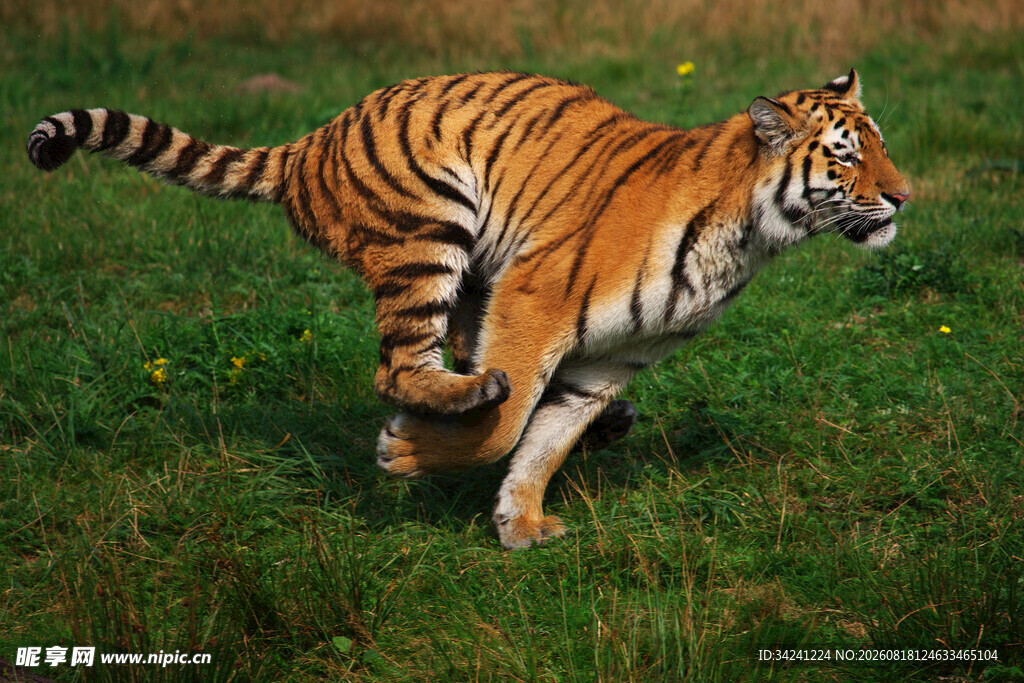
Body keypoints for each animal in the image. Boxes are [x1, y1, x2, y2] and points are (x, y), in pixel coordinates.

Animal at [27, 69, 909, 549]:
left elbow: (543, 443)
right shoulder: (538, 296)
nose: (904, 196)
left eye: (883, 143)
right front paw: (406, 456)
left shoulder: (604, 364)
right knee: (401, 365)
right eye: (846, 156)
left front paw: (521, 525)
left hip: (469, 268)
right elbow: (509, 424)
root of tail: (314, 138)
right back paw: (451, 400)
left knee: (445, 350)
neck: (751, 237)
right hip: (429, 227)